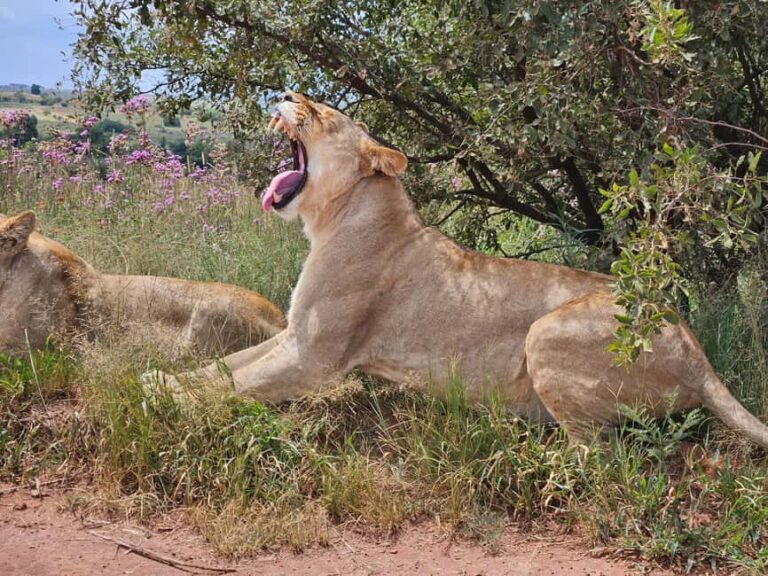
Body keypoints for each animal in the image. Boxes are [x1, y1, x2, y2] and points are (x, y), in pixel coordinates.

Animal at [150, 91, 768, 448]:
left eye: (321, 112)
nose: (282, 93)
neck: (335, 216)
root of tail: (695, 348)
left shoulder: (315, 360)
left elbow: (234, 385)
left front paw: (158, 402)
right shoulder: (294, 336)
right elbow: (223, 367)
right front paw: (157, 380)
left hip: (547, 335)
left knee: (597, 450)